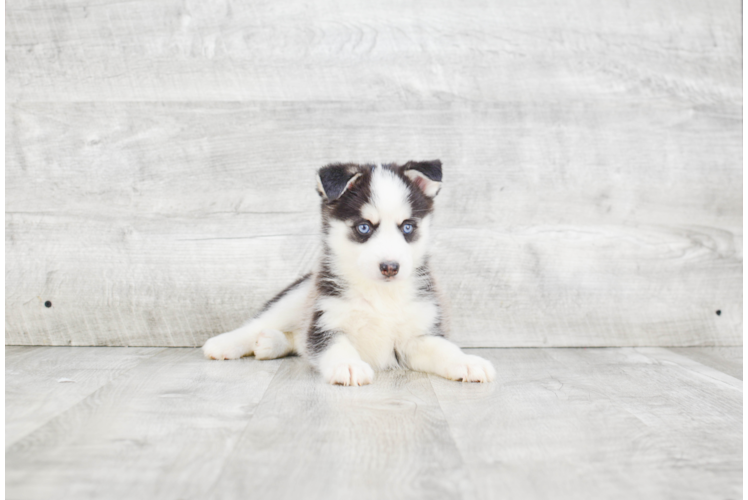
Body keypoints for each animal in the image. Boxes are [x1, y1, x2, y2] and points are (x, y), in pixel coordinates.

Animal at [203, 161, 496, 386]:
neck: (381, 296)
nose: (390, 267)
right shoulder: (325, 320)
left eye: (408, 227)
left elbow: (443, 349)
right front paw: (349, 365)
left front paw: (467, 362)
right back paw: (225, 343)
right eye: (364, 227)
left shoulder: (418, 335)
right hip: (300, 295)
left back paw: (271, 343)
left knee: (297, 338)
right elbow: (334, 345)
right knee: (263, 322)